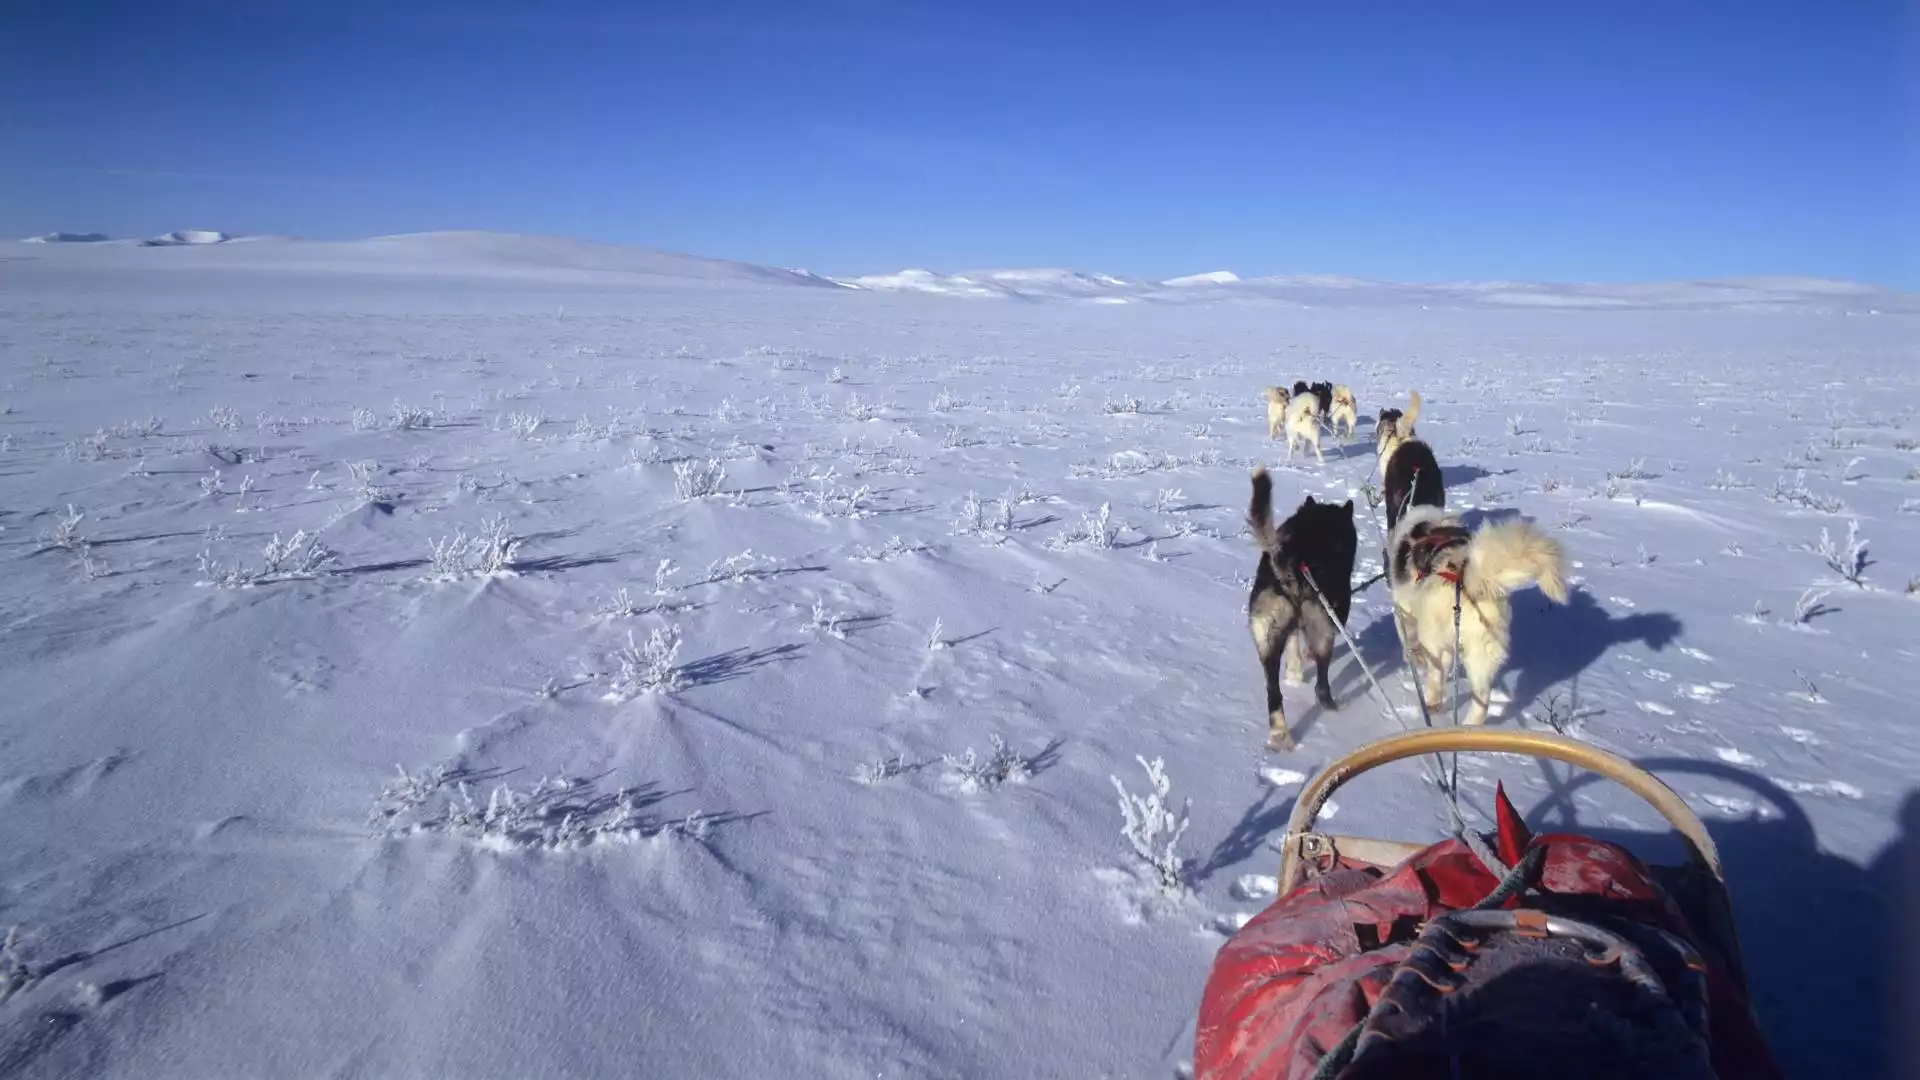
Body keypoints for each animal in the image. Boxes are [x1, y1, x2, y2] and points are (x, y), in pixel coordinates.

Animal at [1244, 466, 1351, 753]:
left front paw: (1294, 674)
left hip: (1266, 631)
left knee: (1273, 691)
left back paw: (1280, 734)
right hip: (1323, 628)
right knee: (1322, 684)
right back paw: (1331, 707)